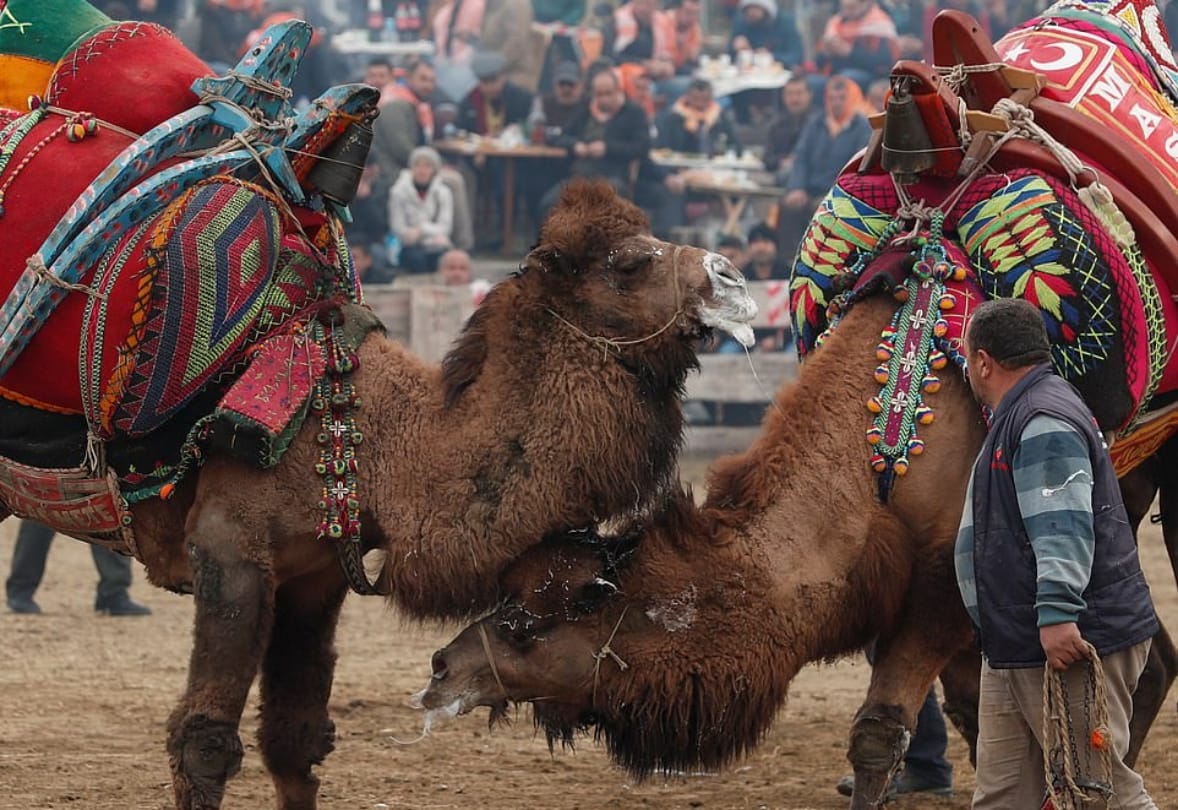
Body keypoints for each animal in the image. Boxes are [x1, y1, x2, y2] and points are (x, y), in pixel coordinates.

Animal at [0, 178, 757, 810]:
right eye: (628, 263)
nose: (735, 279)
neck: (376, 442)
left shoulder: (312, 576)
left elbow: (295, 740)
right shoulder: (229, 548)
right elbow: (205, 739)